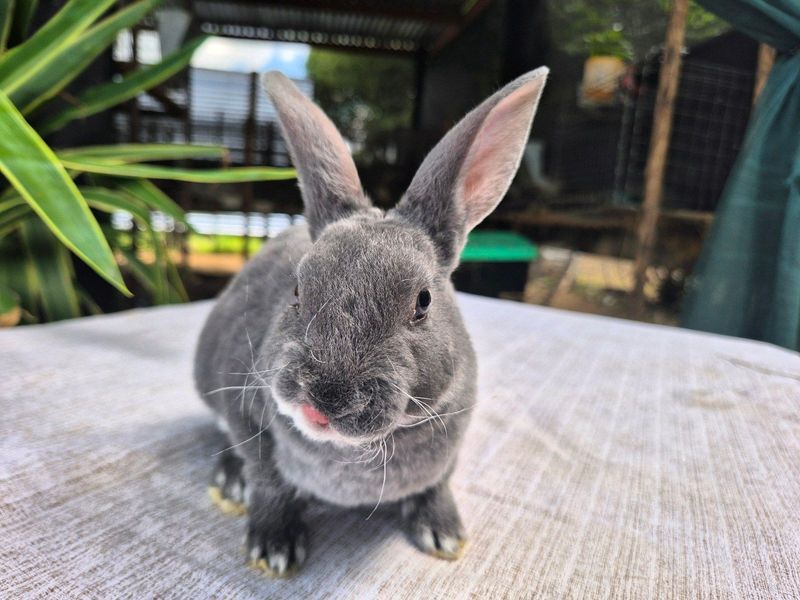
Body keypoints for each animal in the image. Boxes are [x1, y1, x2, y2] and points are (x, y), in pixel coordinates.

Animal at [192, 67, 552, 576]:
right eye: (298, 290)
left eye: (423, 301)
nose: (324, 400)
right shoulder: (245, 410)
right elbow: (269, 480)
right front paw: (274, 549)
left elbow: (437, 484)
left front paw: (445, 535)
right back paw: (230, 484)